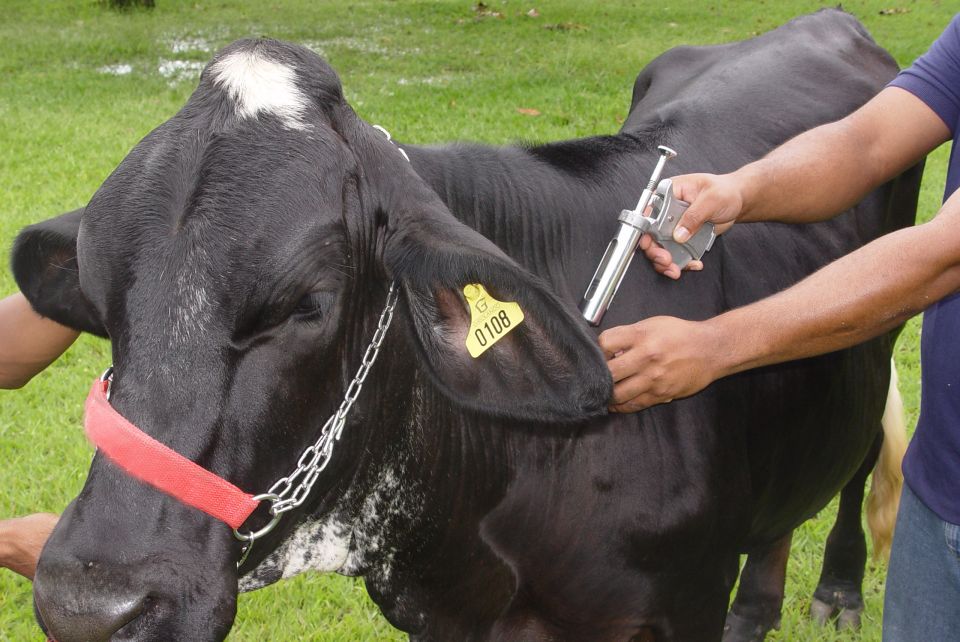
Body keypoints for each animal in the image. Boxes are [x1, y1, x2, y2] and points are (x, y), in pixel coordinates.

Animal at [11, 10, 920, 640]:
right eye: (100, 296)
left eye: (308, 303)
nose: (92, 602)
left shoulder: (682, 599)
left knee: (860, 451)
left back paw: (837, 588)